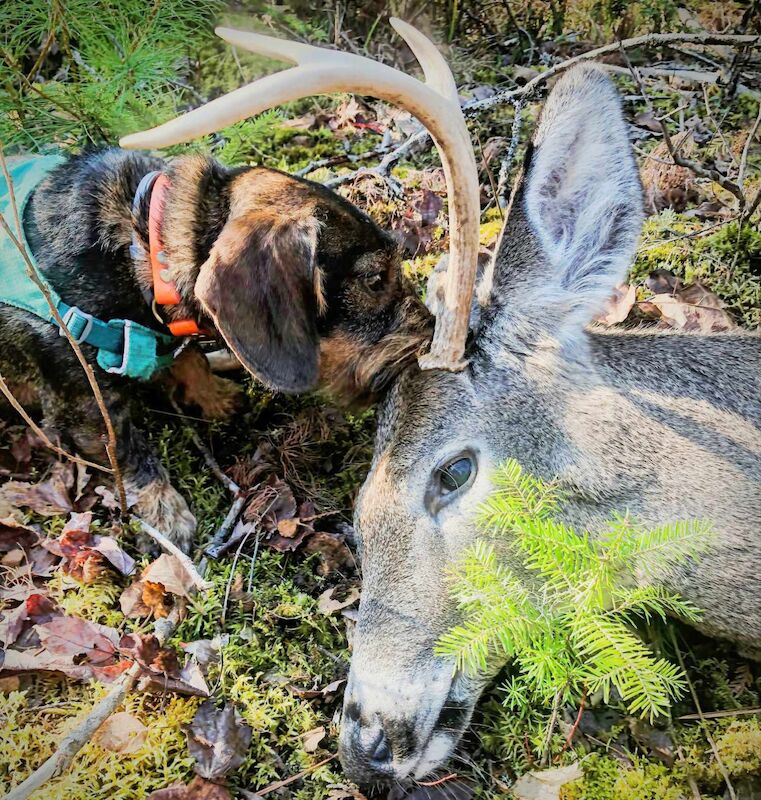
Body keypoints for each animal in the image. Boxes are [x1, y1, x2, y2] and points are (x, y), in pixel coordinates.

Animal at [0, 148, 430, 552]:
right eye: (374, 279)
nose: (430, 334)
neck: (142, 241)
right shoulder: (84, 407)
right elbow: (128, 452)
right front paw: (164, 514)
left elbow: (189, 359)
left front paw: (215, 396)